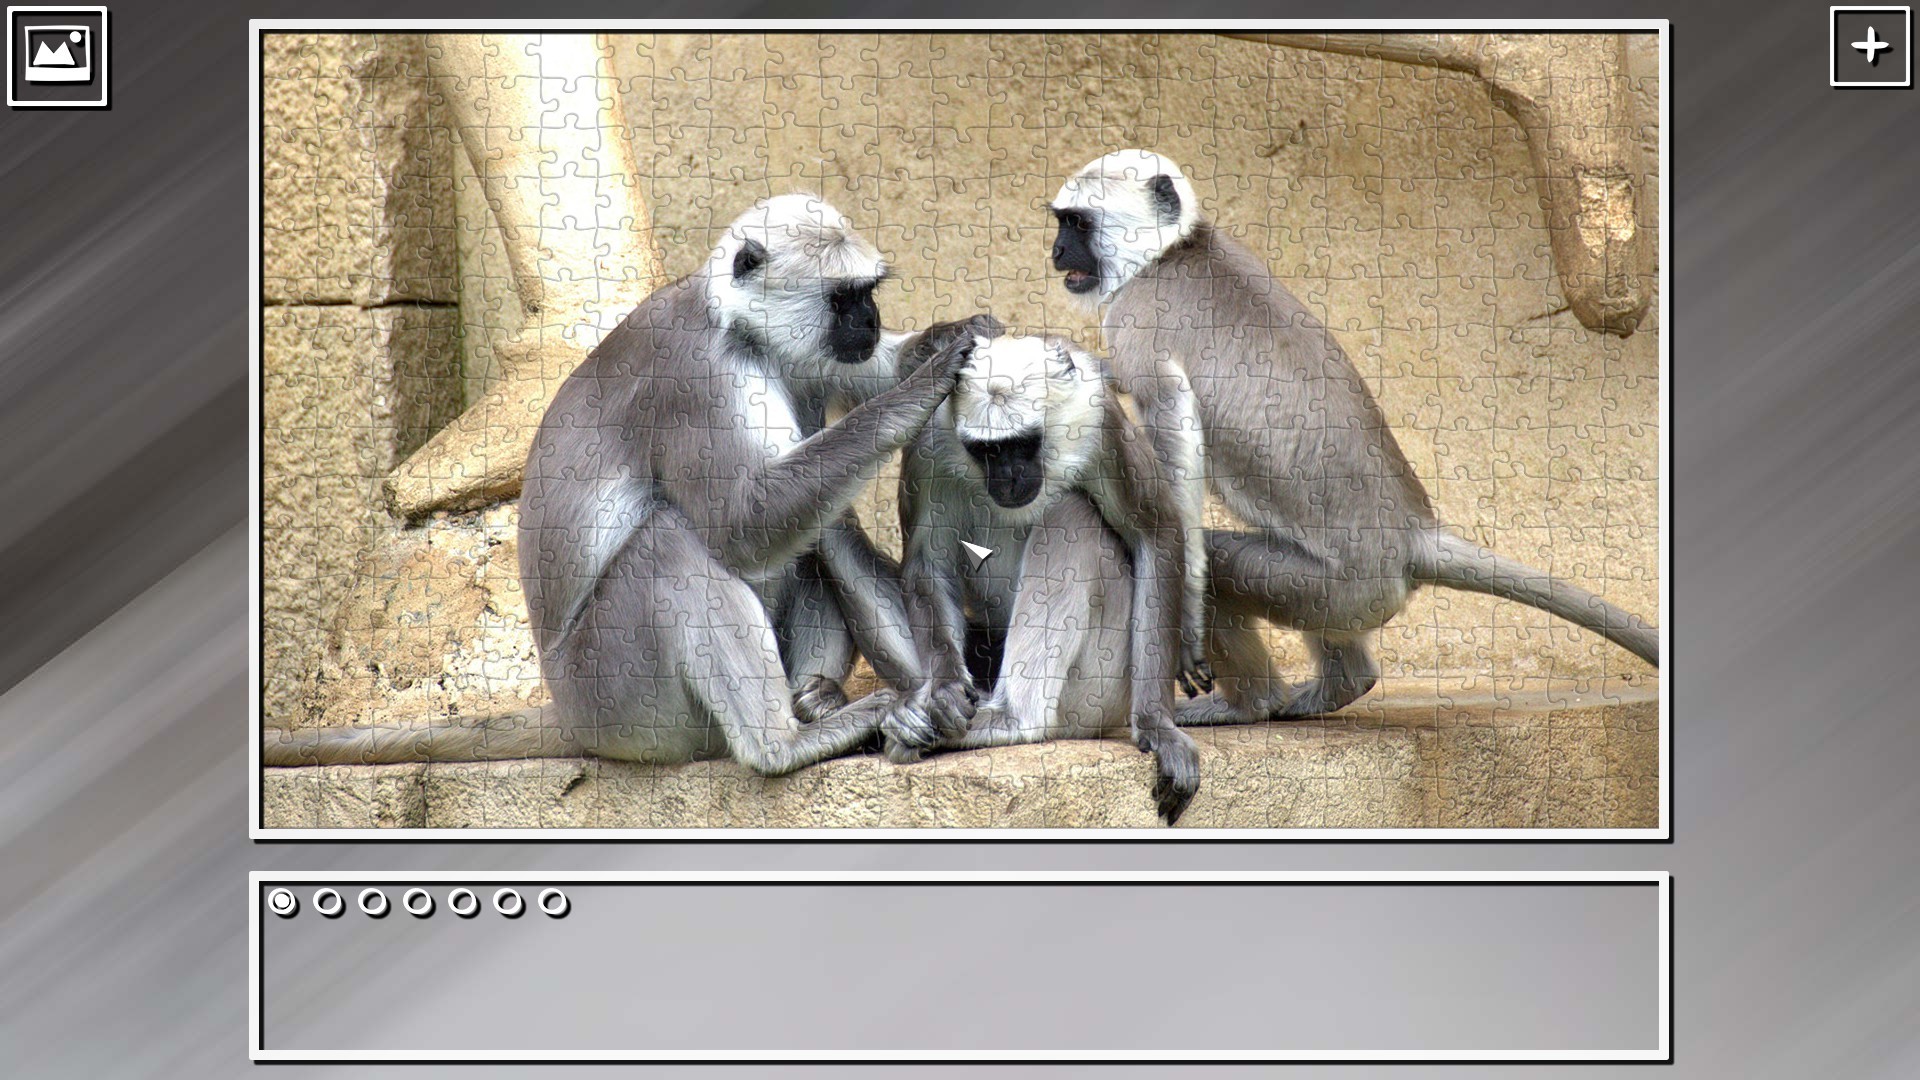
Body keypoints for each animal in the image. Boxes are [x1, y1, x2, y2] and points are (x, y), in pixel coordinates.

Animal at [263, 193, 995, 775]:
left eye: (868, 295)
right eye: (845, 298)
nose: (868, 321)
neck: (737, 328)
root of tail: (567, 707)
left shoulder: (807, 358)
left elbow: (868, 376)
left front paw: (954, 337)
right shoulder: (696, 377)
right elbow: (742, 525)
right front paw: (920, 390)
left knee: (822, 525)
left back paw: (835, 702)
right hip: (619, 696)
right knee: (675, 541)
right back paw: (785, 743)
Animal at [883, 330, 1207, 823]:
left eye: (1023, 445)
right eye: (988, 450)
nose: (1010, 478)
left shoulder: (1097, 417)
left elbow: (1157, 533)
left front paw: (1158, 726)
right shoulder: (928, 438)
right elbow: (926, 563)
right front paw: (943, 689)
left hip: (1103, 687)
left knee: (1071, 511)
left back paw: (1013, 719)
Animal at [1048, 150, 1660, 724]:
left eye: (1077, 223)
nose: (1056, 253)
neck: (1174, 252)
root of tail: (1412, 535)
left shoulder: (1136, 320)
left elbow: (1175, 445)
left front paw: (1186, 623)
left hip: (1343, 588)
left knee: (1220, 562)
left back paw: (1249, 704)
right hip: (1343, 597)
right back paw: (1341, 685)